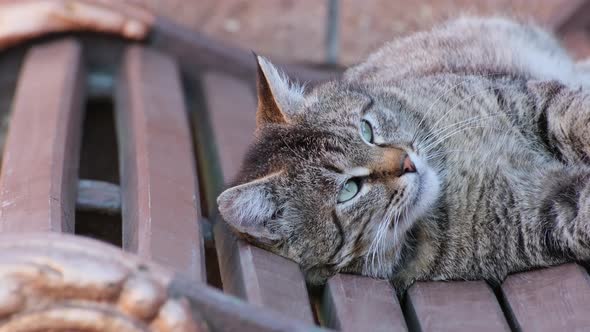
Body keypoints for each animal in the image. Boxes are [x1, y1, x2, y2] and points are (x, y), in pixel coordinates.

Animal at [216, 16, 590, 290]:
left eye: (367, 130)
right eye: (348, 190)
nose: (408, 163)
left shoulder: (530, 101)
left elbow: (578, 118)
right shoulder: (548, 214)